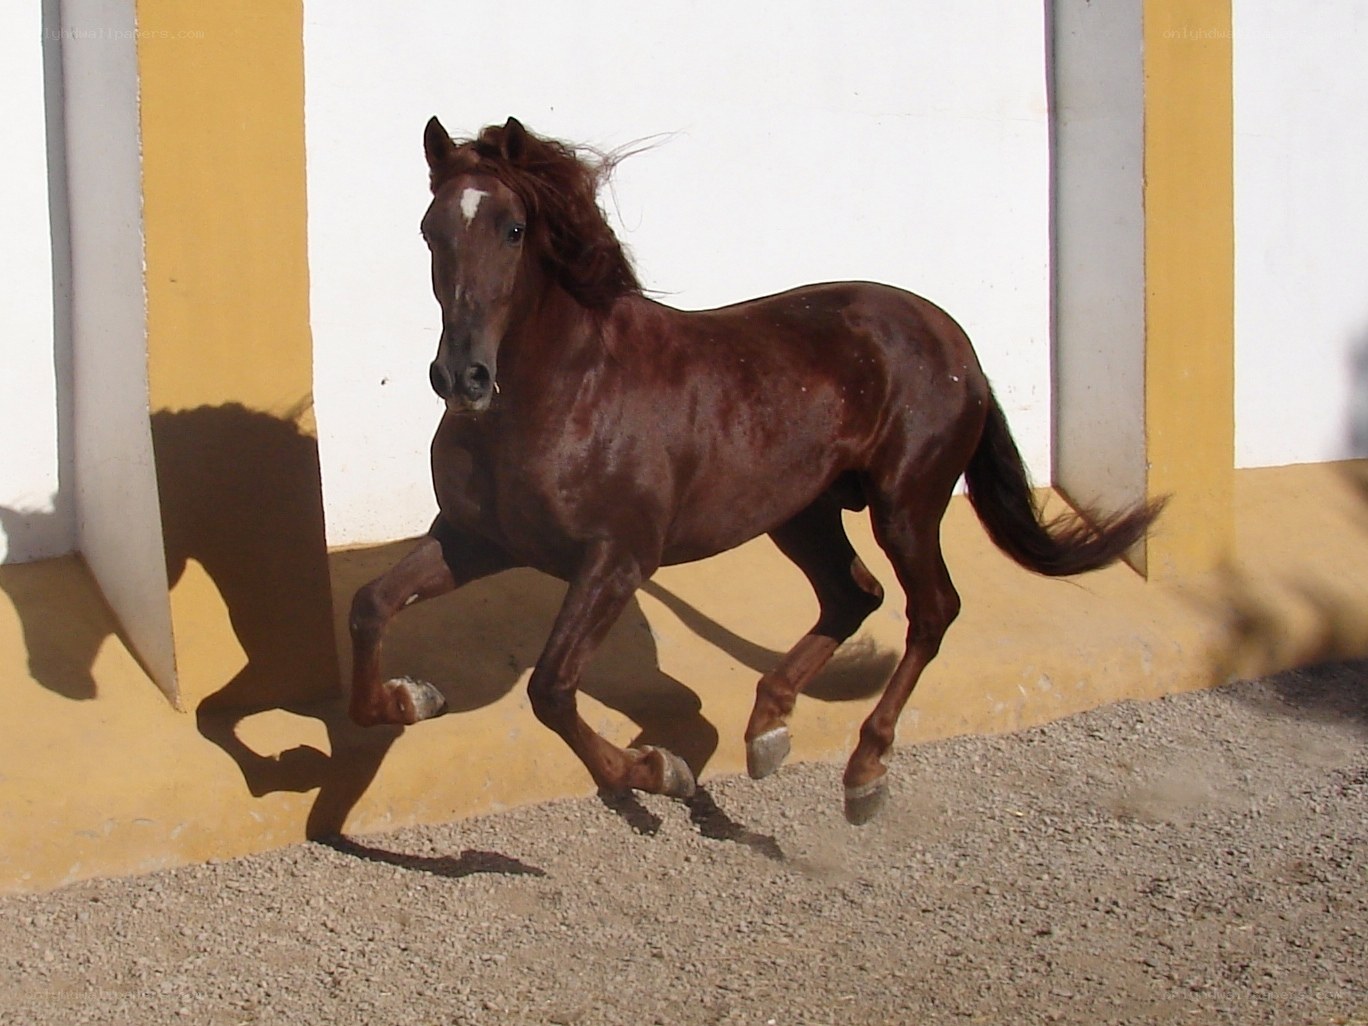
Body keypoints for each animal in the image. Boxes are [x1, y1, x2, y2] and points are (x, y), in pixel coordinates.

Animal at [348, 116, 1162, 825]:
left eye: (513, 228)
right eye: (429, 231)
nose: (462, 376)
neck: (566, 389)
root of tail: (956, 341)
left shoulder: (618, 558)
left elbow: (551, 689)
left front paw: (657, 772)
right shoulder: (477, 541)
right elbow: (370, 605)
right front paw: (413, 697)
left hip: (906, 505)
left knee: (931, 610)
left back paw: (865, 772)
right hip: (800, 513)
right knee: (853, 594)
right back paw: (768, 728)